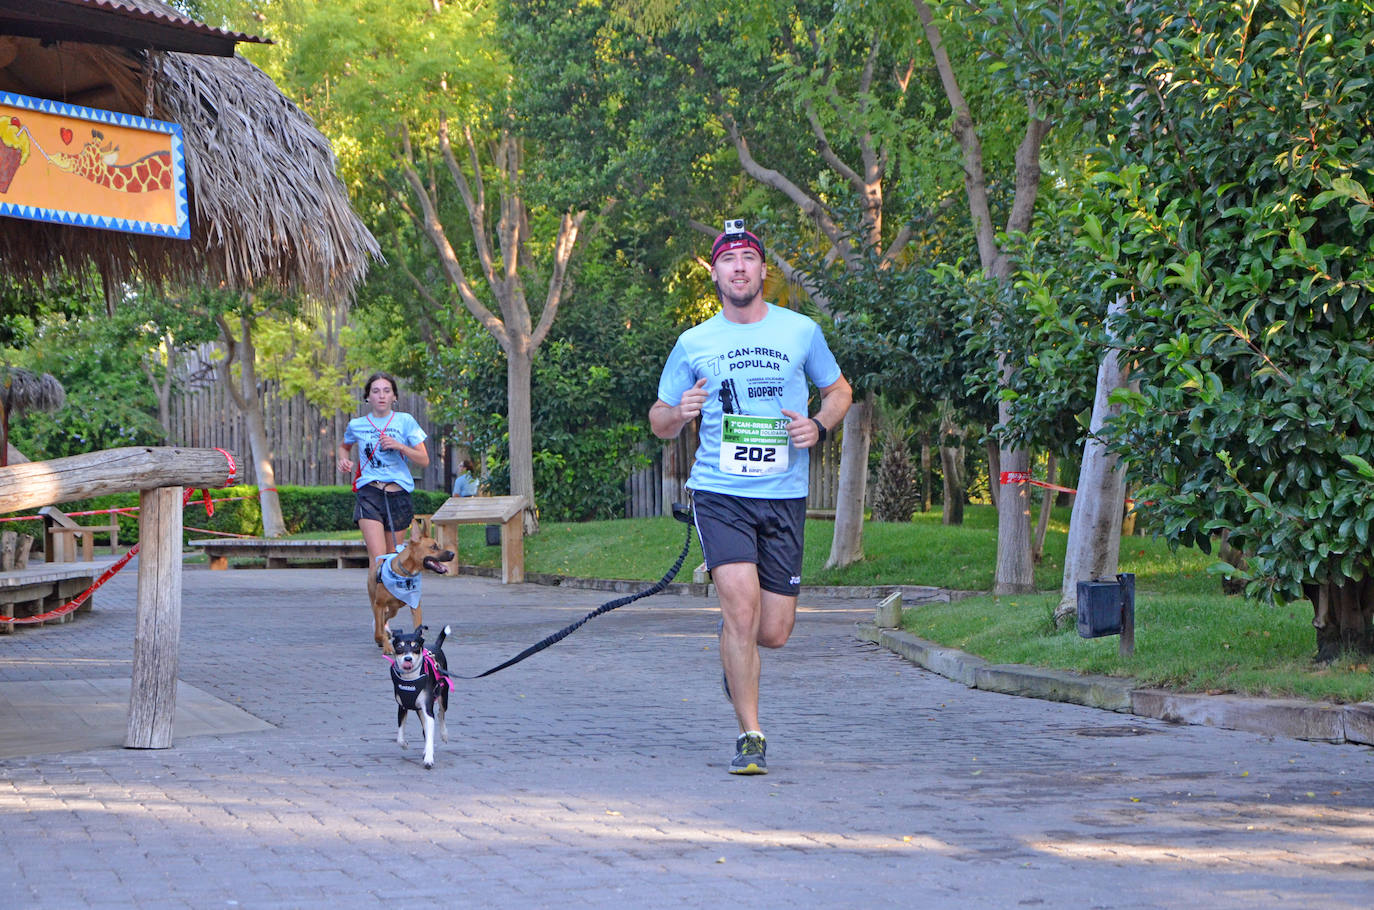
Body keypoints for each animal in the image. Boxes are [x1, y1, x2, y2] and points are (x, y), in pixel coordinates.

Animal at [365, 527, 456, 657]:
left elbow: (418, 628)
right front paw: (385, 644)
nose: (453, 554)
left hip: (393, 610)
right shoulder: (379, 605)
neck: (405, 575)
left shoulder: (415, 606)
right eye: (433, 547)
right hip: (376, 603)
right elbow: (379, 631)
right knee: (380, 622)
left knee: (385, 618)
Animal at [390, 626, 453, 769]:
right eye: (399, 646)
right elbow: (399, 737)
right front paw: (405, 744)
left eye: (416, 646)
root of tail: (436, 646)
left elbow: (430, 736)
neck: (410, 679)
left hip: (443, 696)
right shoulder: (402, 707)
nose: (408, 659)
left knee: (441, 713)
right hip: (419, 710)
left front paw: (429, 758)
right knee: (425, 728)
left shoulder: (428, 710)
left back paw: (444, 734)